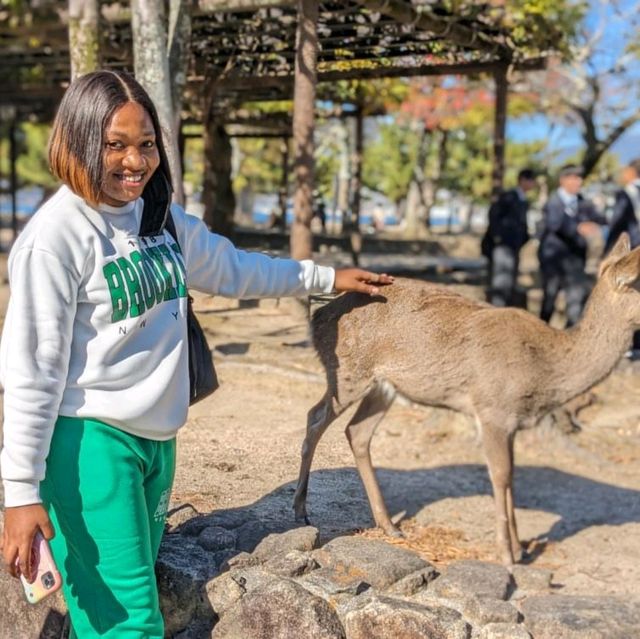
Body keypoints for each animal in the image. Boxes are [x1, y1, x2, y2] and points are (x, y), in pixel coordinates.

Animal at [294, 234, 640, 564]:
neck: (545, 373)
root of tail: (318, 318)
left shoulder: (511, 421)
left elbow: (512, 477)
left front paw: (521, 549)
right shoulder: (492, 409)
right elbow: (500, 475)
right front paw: (507, 554)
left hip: (384, 387)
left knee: (357, 432)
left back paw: (389, 524)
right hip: (349, 372)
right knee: (314, 417)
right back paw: (301, 510)